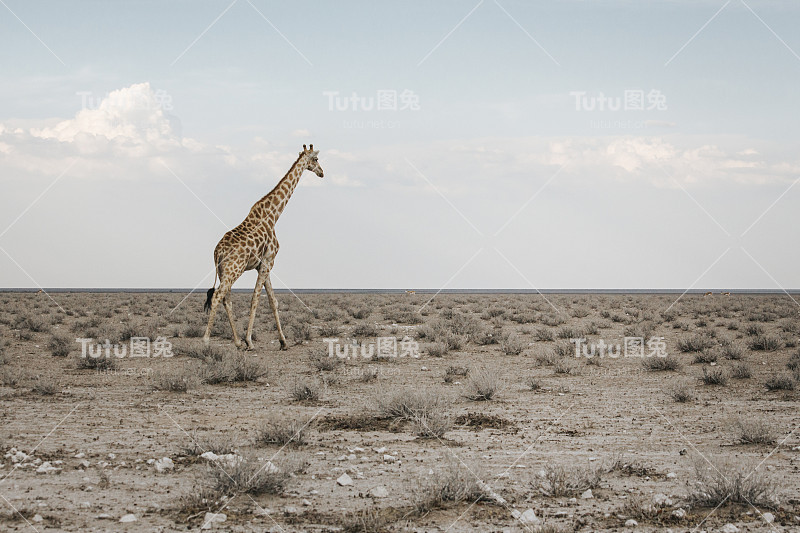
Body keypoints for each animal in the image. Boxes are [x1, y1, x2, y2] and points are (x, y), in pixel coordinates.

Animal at [202, 143, 324, 350]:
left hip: (224, 271)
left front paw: (283, 342)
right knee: (218, 296)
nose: (322, 172)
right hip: (234, 269)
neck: (273, 215)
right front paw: (250, 341)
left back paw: (236, 342)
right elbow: (256, 299)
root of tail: (217, 252)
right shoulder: (268, 261)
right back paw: (206, 340)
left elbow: (273, 301)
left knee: (226, 299)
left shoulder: (263, 264)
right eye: (315, 159)